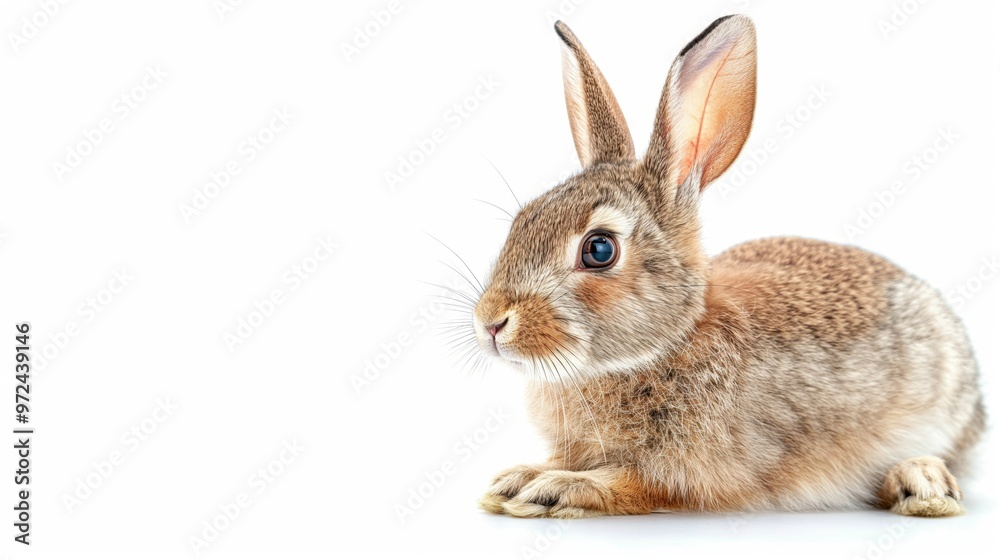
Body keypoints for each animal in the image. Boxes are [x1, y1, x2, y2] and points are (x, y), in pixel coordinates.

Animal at [469, 15, 985, 519]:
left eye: (599, 250)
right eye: (522, 219)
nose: (491, 323)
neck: (668, 344)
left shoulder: (698, 474)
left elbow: (637, 484)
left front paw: (553, 488)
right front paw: (517, 477)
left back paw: (923, 483)